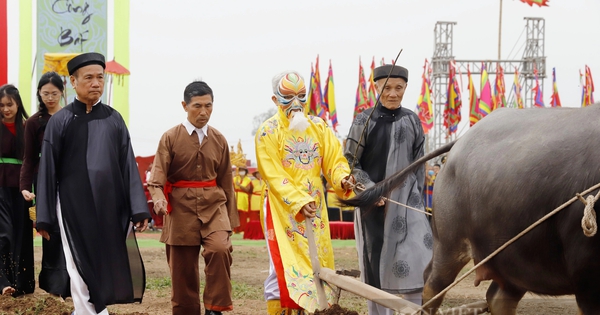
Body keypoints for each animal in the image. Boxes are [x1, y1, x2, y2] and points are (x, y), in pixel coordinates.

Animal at [344, 105, 600, 314]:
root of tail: (462, 141)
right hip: (448, 243)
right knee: (431, 286)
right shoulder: (587, 280)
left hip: (509, 255)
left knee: (497, 297)